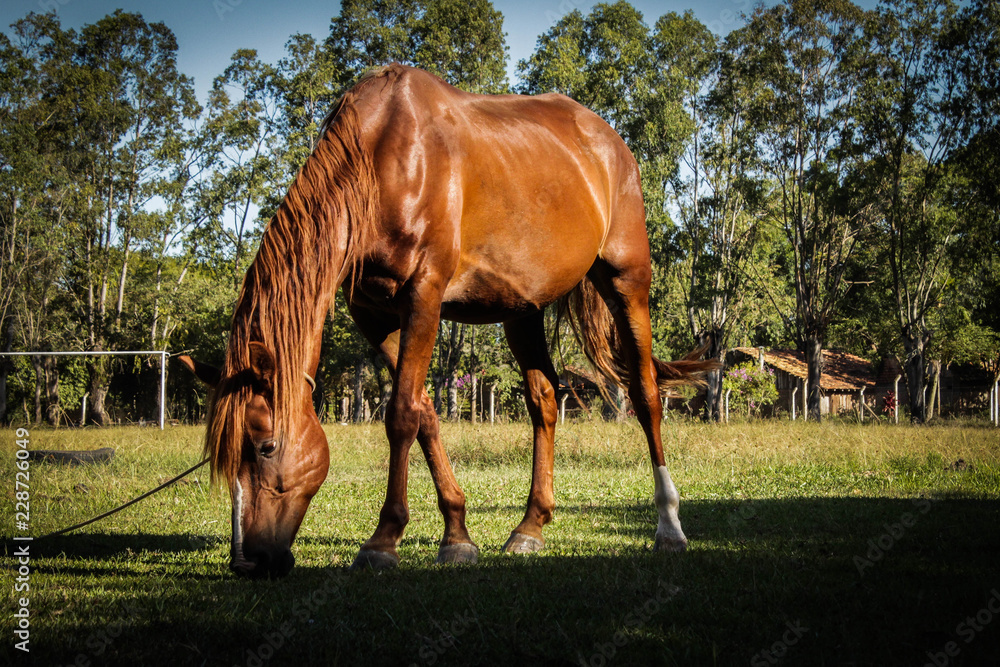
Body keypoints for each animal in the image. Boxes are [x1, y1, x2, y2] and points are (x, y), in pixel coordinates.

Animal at [179, 64, 716, 578]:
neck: (382, 162)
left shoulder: (424, 295)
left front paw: (383, 541)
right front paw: (457, 534)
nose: (248, 562)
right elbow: (424, 414)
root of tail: (608, 139)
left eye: (266, 446)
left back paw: (669, 527)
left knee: (645, 394)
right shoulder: (375, 315)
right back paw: (530, 526)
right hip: (522, 310)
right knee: (544, 401)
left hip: (627, 282)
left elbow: (400, 415)